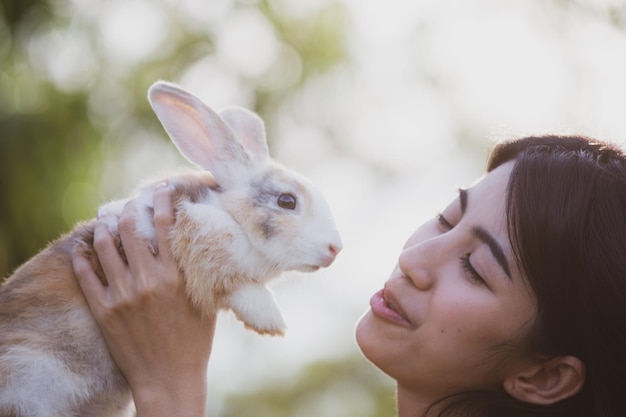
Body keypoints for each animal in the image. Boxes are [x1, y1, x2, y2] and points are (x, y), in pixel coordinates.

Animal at [0, 80, 342, 416]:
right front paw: (270, 320)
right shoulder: (196, 230)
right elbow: (232, 273)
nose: (335, 249)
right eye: (287, 201)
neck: (230, 212)